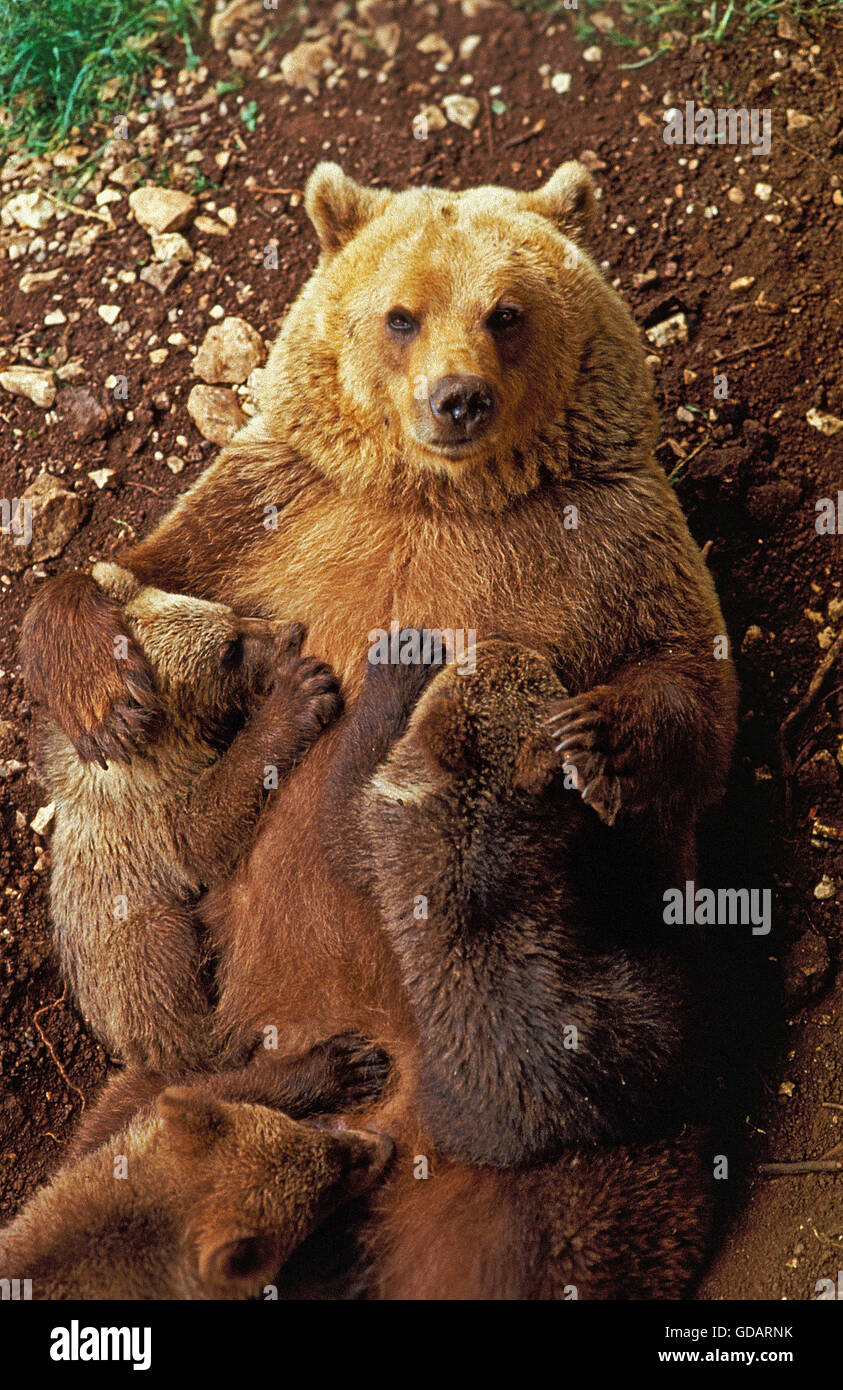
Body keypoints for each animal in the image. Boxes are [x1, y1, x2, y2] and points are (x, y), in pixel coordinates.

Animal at [0, 1034, 393, 1300]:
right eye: (330, 1190)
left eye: (313, 1130)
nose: (384, 1146)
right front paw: (343, 1272)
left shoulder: (105, 1153)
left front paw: (348, 1068)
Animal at [31, 561, 342, 1071]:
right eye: (229, 652)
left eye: (228, 613)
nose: (292, 630)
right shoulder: (150, 817)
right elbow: (202, 835)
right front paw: (299, 697)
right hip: (137, 941)